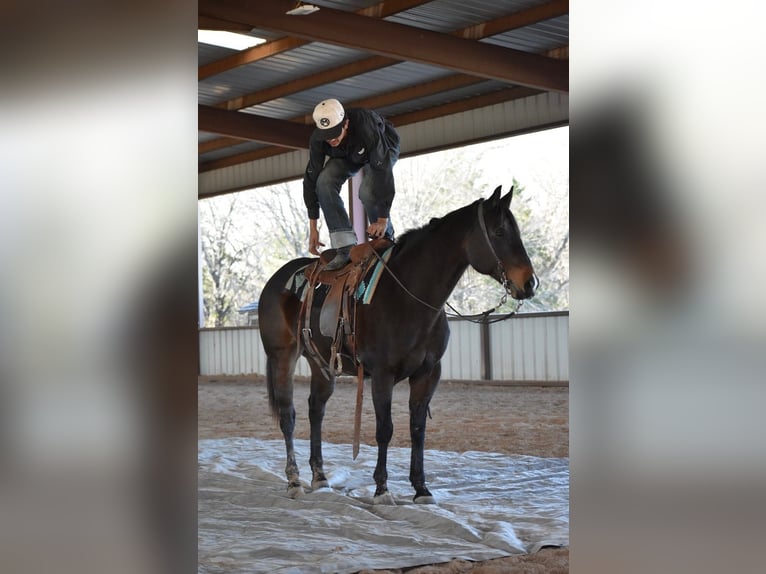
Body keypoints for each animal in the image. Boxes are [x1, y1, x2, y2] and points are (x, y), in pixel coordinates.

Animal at [258, 185, 537, 503]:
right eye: (499, 231)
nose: (530, 283)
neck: (408, 296)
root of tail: (275, 281)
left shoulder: (428, 373)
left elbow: (417, 428)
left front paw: (421, 488)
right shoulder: (382, 374)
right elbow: (385, 429)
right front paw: (382, 489)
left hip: (322, 364)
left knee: (316, 410)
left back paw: (320, 477)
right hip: (282, 357)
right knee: (288, 415)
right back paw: (294, 480)